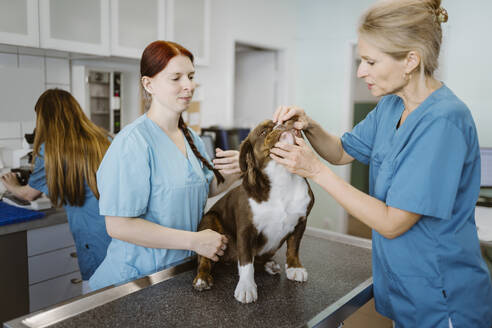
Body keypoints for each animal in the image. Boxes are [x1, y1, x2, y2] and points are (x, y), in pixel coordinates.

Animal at [193, 118, 316, 302]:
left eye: (283, 120)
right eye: (263, 131)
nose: (283, 123)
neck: (281, 176)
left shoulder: (301, 221)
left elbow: (294, 247)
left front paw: (295, 267)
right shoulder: (246, 230)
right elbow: (246, 262)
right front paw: (246, 286)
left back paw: (270, 264)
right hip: (209, 222)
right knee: (205, 259)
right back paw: (202, 278)